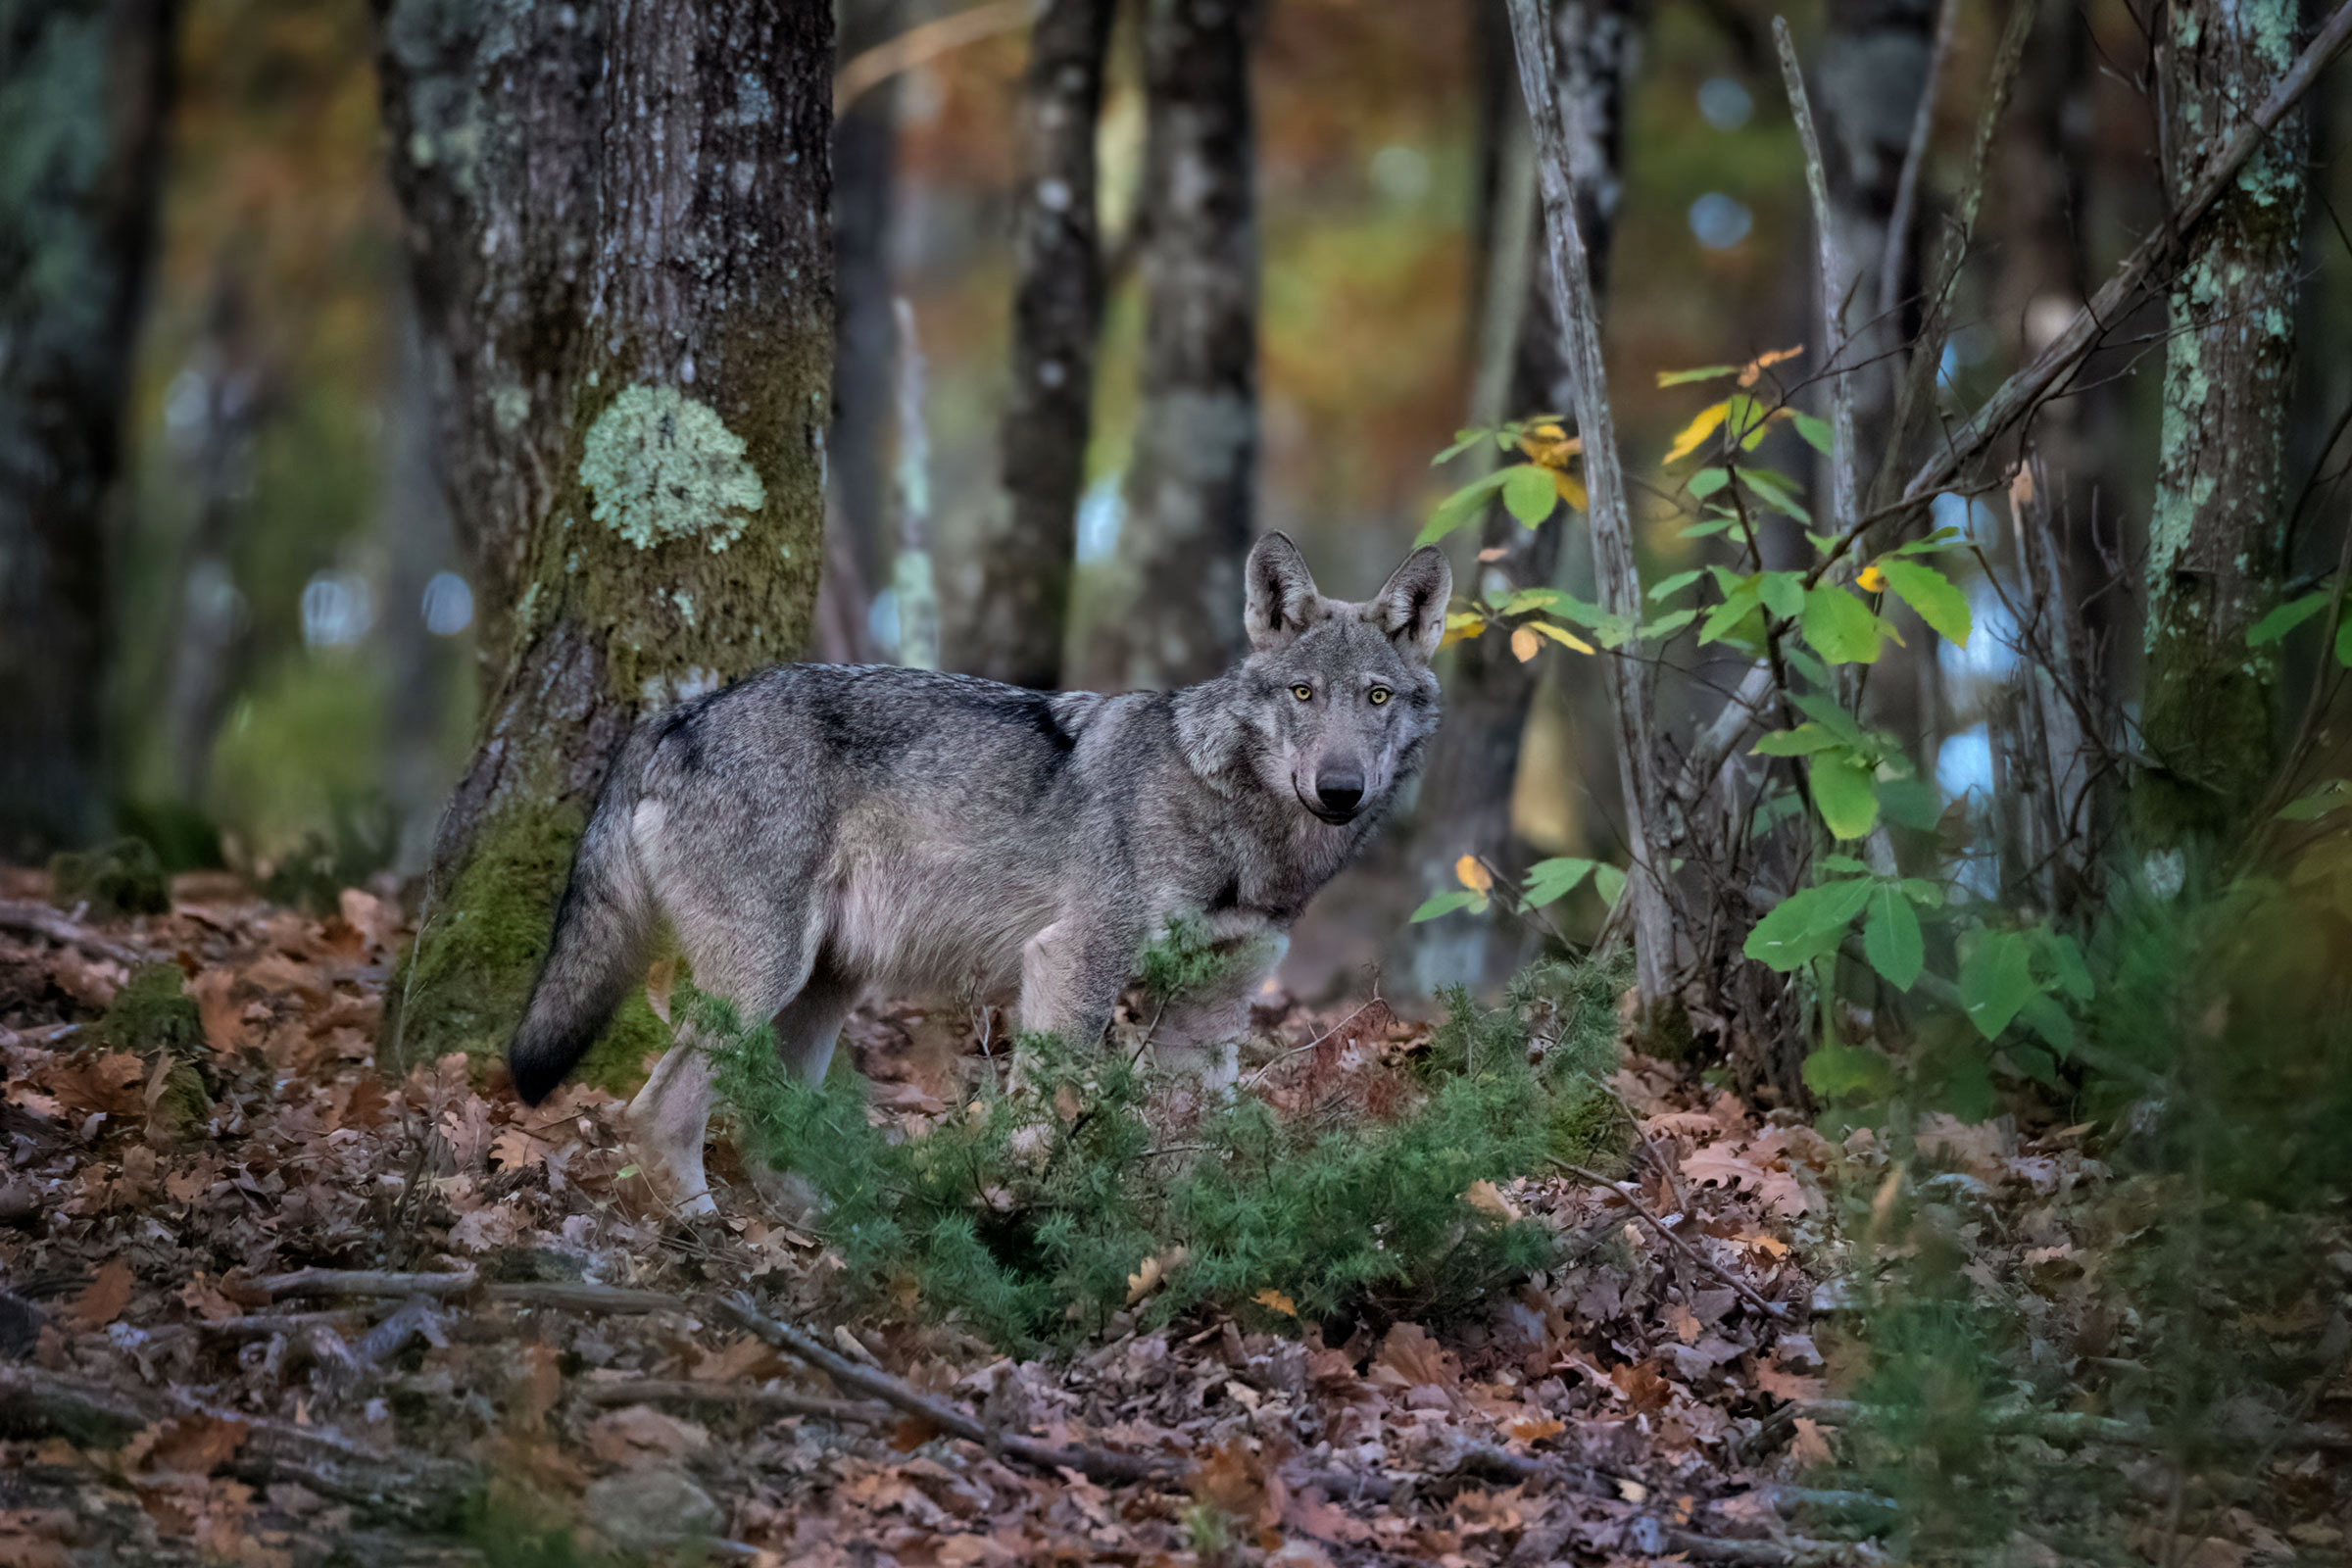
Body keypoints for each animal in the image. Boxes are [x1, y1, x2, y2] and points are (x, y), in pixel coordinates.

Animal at [505, 531, 1450, 1215]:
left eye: (1375, 697)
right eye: (1302, 695)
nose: (1339, 789)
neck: (1244, 831)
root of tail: (678, 714)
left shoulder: (1211, 1012)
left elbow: (1202, 1145)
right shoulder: (1072, 962)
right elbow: (1038, 1115)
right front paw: (1021, 1218)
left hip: (822, 990)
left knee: (768, 1121)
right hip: (766, 978)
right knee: (659, 1108)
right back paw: (704, 1232)